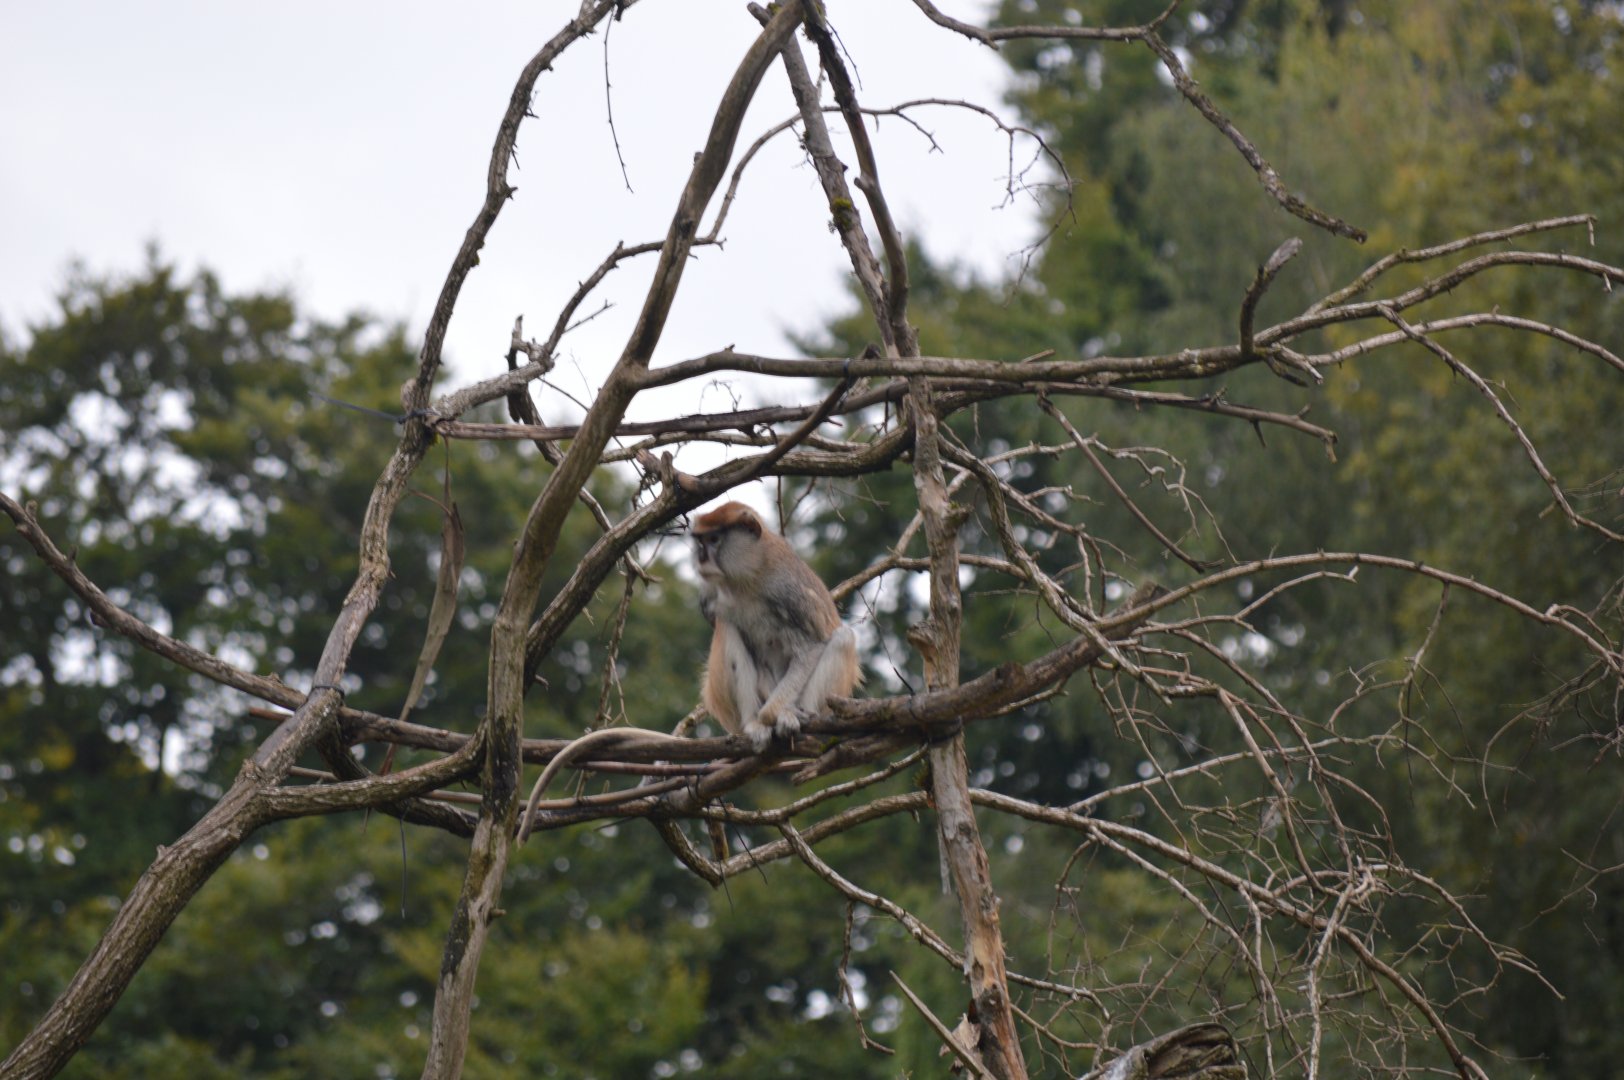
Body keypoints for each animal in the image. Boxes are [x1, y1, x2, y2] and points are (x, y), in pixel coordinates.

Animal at [691, 501, 860, 752]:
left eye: (714, 539)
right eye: (701, 541)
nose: (701, 558)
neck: (746, 578)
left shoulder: (787, 591)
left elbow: (811, 648)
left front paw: (773, 714)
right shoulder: (710, 593)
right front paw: (762, 720)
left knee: (843, 639)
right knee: (727, 627)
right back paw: (753, 723)